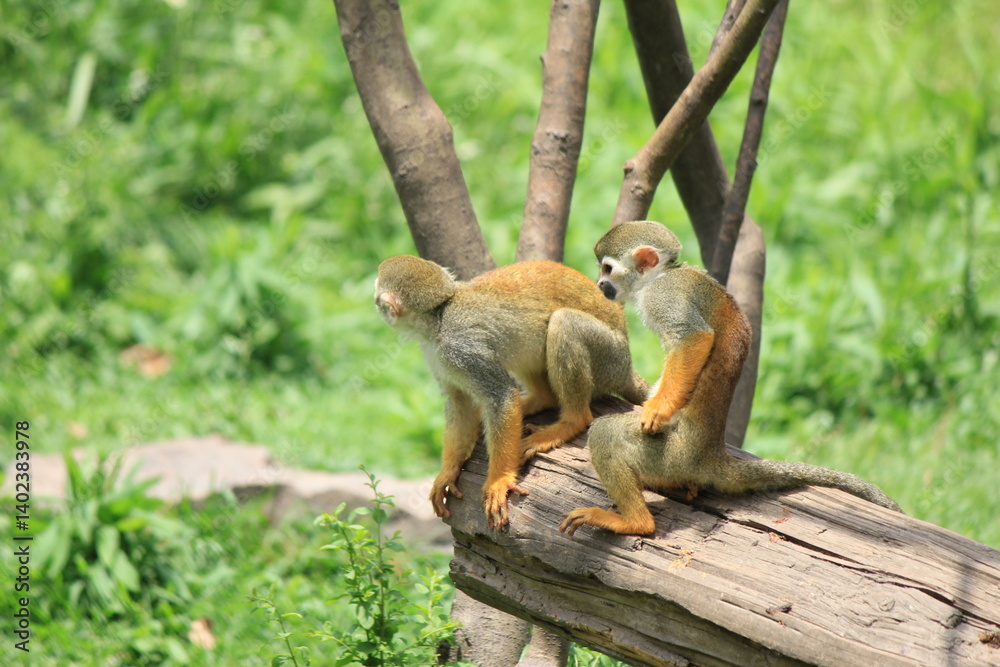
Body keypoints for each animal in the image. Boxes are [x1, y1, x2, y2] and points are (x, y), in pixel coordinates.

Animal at [374, 255, 649, 529]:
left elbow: (501, 396)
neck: (439, 317)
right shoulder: (440, 357)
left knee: (564, 323)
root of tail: (627, 366)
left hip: (610, 359)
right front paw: (448, 472)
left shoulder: (459, 349)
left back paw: (570, 422)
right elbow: (460, 403)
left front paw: (499, 481)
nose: (376, 303)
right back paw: (539, 401)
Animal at [560, 221, 901, 537]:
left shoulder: (664, 296)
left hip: (671, 456)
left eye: (607, 268)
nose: (599, 283)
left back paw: (635, 522)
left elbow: (694, 338)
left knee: (606, 434)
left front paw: (657, 408)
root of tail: (709, 454)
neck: (661, 276)